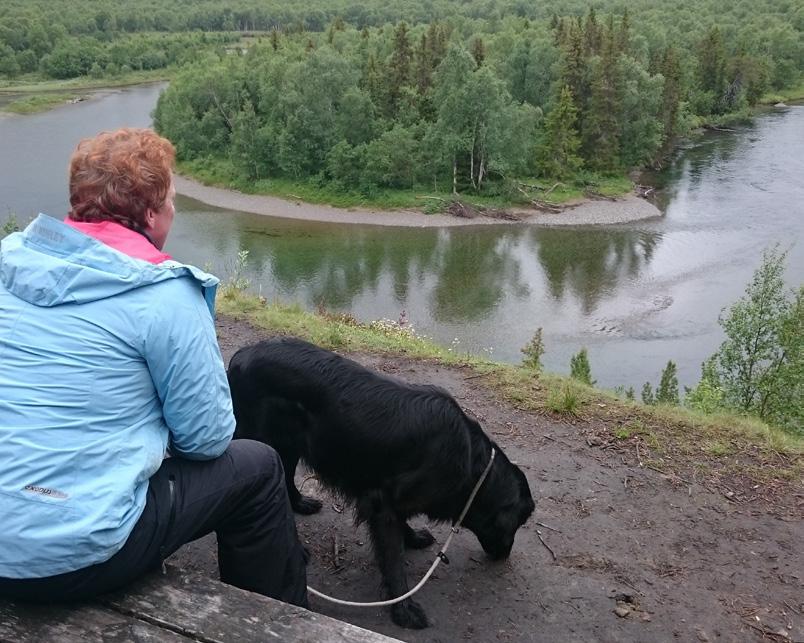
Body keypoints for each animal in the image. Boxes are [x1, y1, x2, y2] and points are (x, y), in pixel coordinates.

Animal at [228, 338, 532, 628]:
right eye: (517, 524)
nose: (504, 556)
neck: (471, 463)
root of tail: (241, 355)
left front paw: (413, 537)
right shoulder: (382, 504)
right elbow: (393, 558)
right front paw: (404, 608)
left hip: (287, 444)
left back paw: (301, 504)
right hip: (263, 438)